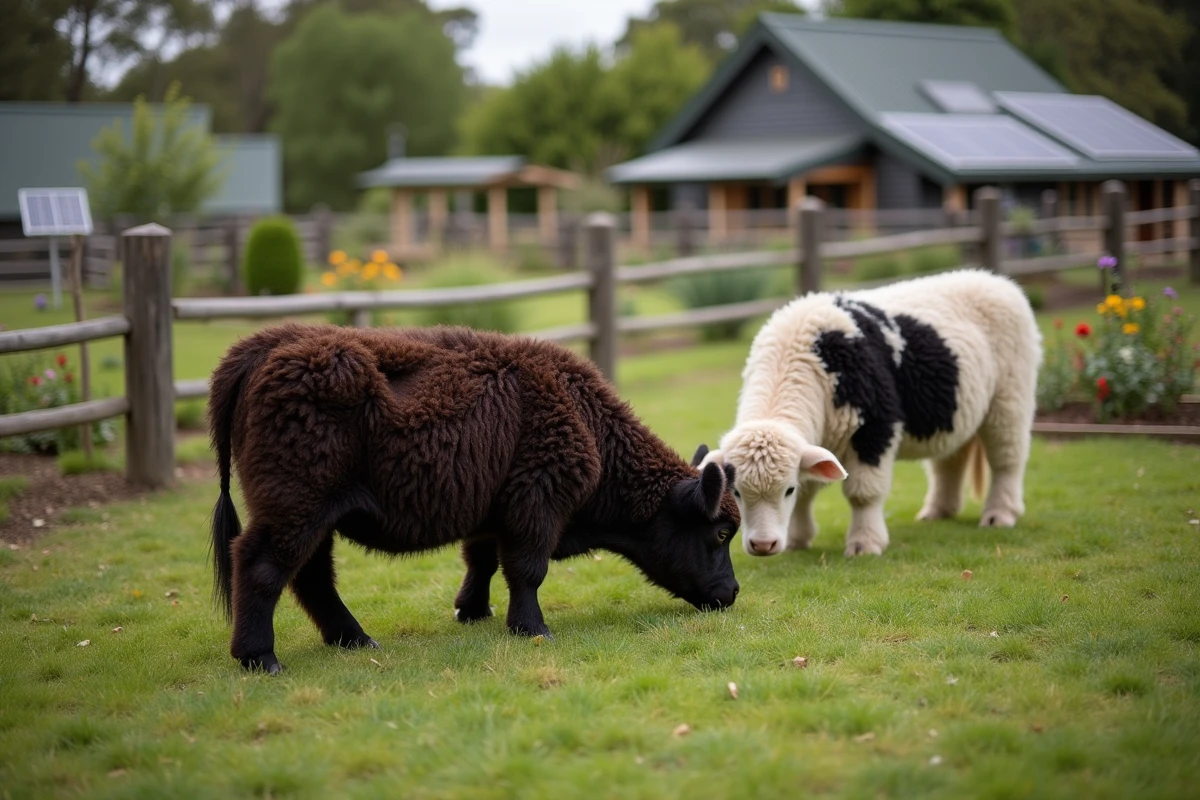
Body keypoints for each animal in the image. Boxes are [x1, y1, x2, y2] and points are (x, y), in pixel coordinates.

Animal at [208, 323, 740, 672]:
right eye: (720, 532)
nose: (732, 593)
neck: (585, 420)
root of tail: (264, 346)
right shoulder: (537, 506)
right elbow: (527, 570)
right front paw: (533, 629)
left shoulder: (493, 509)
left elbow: (481, 558)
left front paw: (471, 611)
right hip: (297, 509)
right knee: (262, 565)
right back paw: (261, 657)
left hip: (315, 517)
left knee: (311, 575)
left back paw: (356, 640)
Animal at [701, 269, 1042, 558]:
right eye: (736, 492)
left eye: (787, 490)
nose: (763, 545)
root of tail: (995, 280)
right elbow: (809, 493)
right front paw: (798, 540)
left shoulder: (875, 431)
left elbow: (862, 494)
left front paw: (865, 543)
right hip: (955, 413)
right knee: (949, 462)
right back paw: (937, 512)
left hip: (1011, 398)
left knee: (1007, 458)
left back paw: (1000, 514)